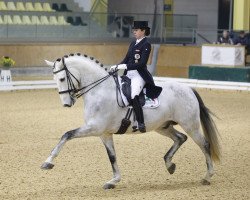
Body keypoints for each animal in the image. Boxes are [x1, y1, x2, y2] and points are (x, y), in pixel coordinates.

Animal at [41, 53, 221, 189]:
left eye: (62, 79)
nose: (66, 104)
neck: (99, 90)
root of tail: (189, 88)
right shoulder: (104, 134)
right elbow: (112, 157)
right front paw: (113, 181)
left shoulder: (94, 128)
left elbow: (67, 134)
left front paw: (48, 162)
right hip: (162, 126)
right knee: (180, 138)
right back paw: (170, 165)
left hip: (190, 125)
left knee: (204, 145)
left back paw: (207, 176)